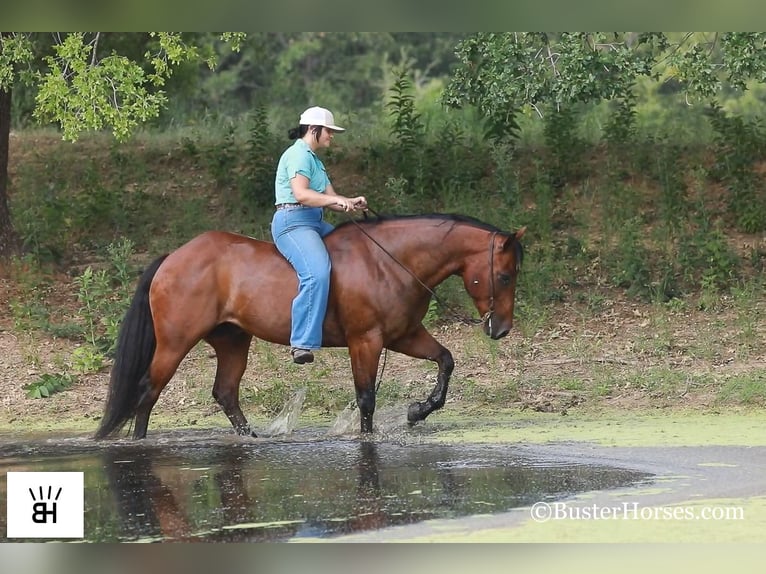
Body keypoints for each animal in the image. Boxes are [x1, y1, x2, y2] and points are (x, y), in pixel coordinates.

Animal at [94, 216, 528, 440]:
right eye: (505, 276)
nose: (502, 329)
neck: (389, 261)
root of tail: (173, 258)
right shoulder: (365, 341)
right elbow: (366, 397)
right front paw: (368, 437)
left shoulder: (404, 335)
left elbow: (446, 360)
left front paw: (419, 410)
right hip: (174, 343)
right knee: (148, 392)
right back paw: (138, 443)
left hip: (233, 341)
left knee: (225, 393)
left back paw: (251, 439)